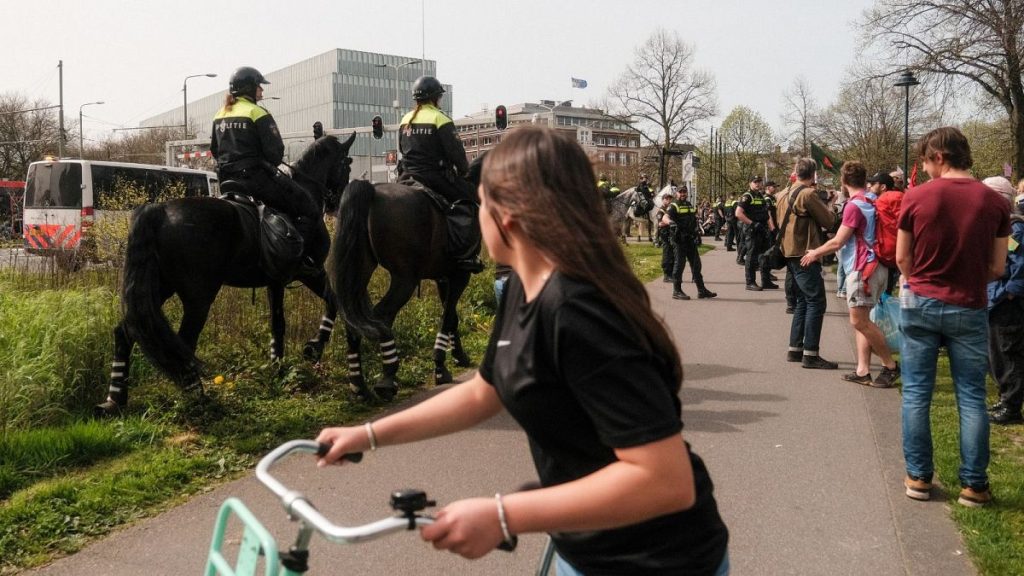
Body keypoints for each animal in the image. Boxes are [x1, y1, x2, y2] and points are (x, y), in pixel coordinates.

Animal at [96, 134, 358, 412]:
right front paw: (314, 347)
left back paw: (114, 400)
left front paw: (277, 368)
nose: (336, 204)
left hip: (159, 289)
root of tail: (159, 211)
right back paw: (196, 396)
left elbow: (278, 324)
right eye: (347, 163)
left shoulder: (275, 281)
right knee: (184, 342)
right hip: (198, 298)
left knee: (126, 332)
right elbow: (333, 301)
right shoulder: (310, 272)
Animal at [331, 162, 483, 399]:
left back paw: (359, 386)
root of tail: (371, 190)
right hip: (404, 280)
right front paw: (441, 367)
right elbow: (448, 317)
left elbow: (453, 318)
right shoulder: (460, 276)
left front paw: (459, 357)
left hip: (360, 272)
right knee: (382, 316)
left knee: (352, 319)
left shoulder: (444, 278)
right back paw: (387, 378)